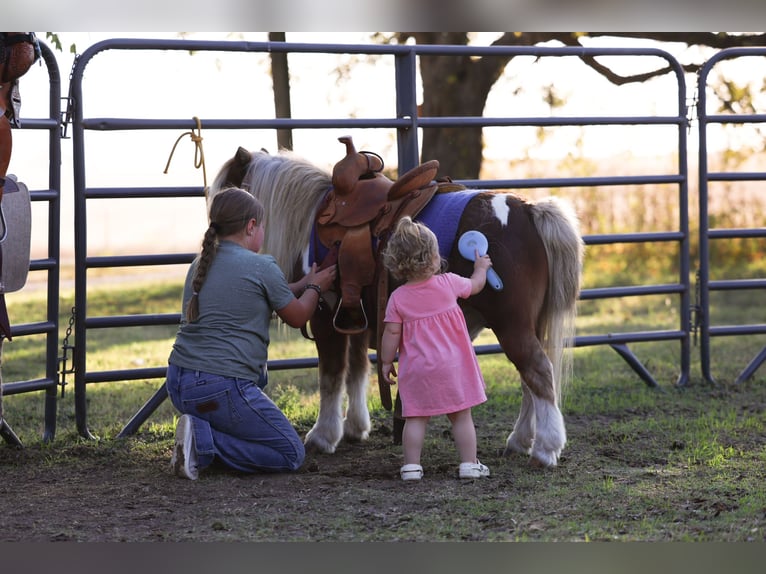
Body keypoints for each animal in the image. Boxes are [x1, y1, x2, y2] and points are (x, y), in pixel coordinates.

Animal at [208, 141, 584, 467]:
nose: (211, 239)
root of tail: (529, 210)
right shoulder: (354, 317)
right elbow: (357, 370)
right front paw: (355, 428)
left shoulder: (325, 316)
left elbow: (331, 375)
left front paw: (322, 436)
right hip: (528, 325)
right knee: (530, 380)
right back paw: (520, 441)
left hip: (511, 325)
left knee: (538, 372)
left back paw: (546, 449)